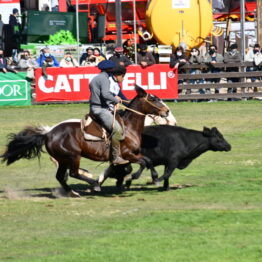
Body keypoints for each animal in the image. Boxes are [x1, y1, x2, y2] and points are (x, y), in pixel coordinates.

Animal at [0, 86, 168, 196]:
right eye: (153, 98)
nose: (166, 111)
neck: (128, 127)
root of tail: (48, 133)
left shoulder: (127, 157)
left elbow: (144, 163)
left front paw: (150, 178)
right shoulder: (128, 155)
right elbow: (144, 163)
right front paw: (135, 178)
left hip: (63, 159)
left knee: (60, 176)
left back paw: (73, 192)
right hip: (73, 156)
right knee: (74, 173)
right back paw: (93, 185)